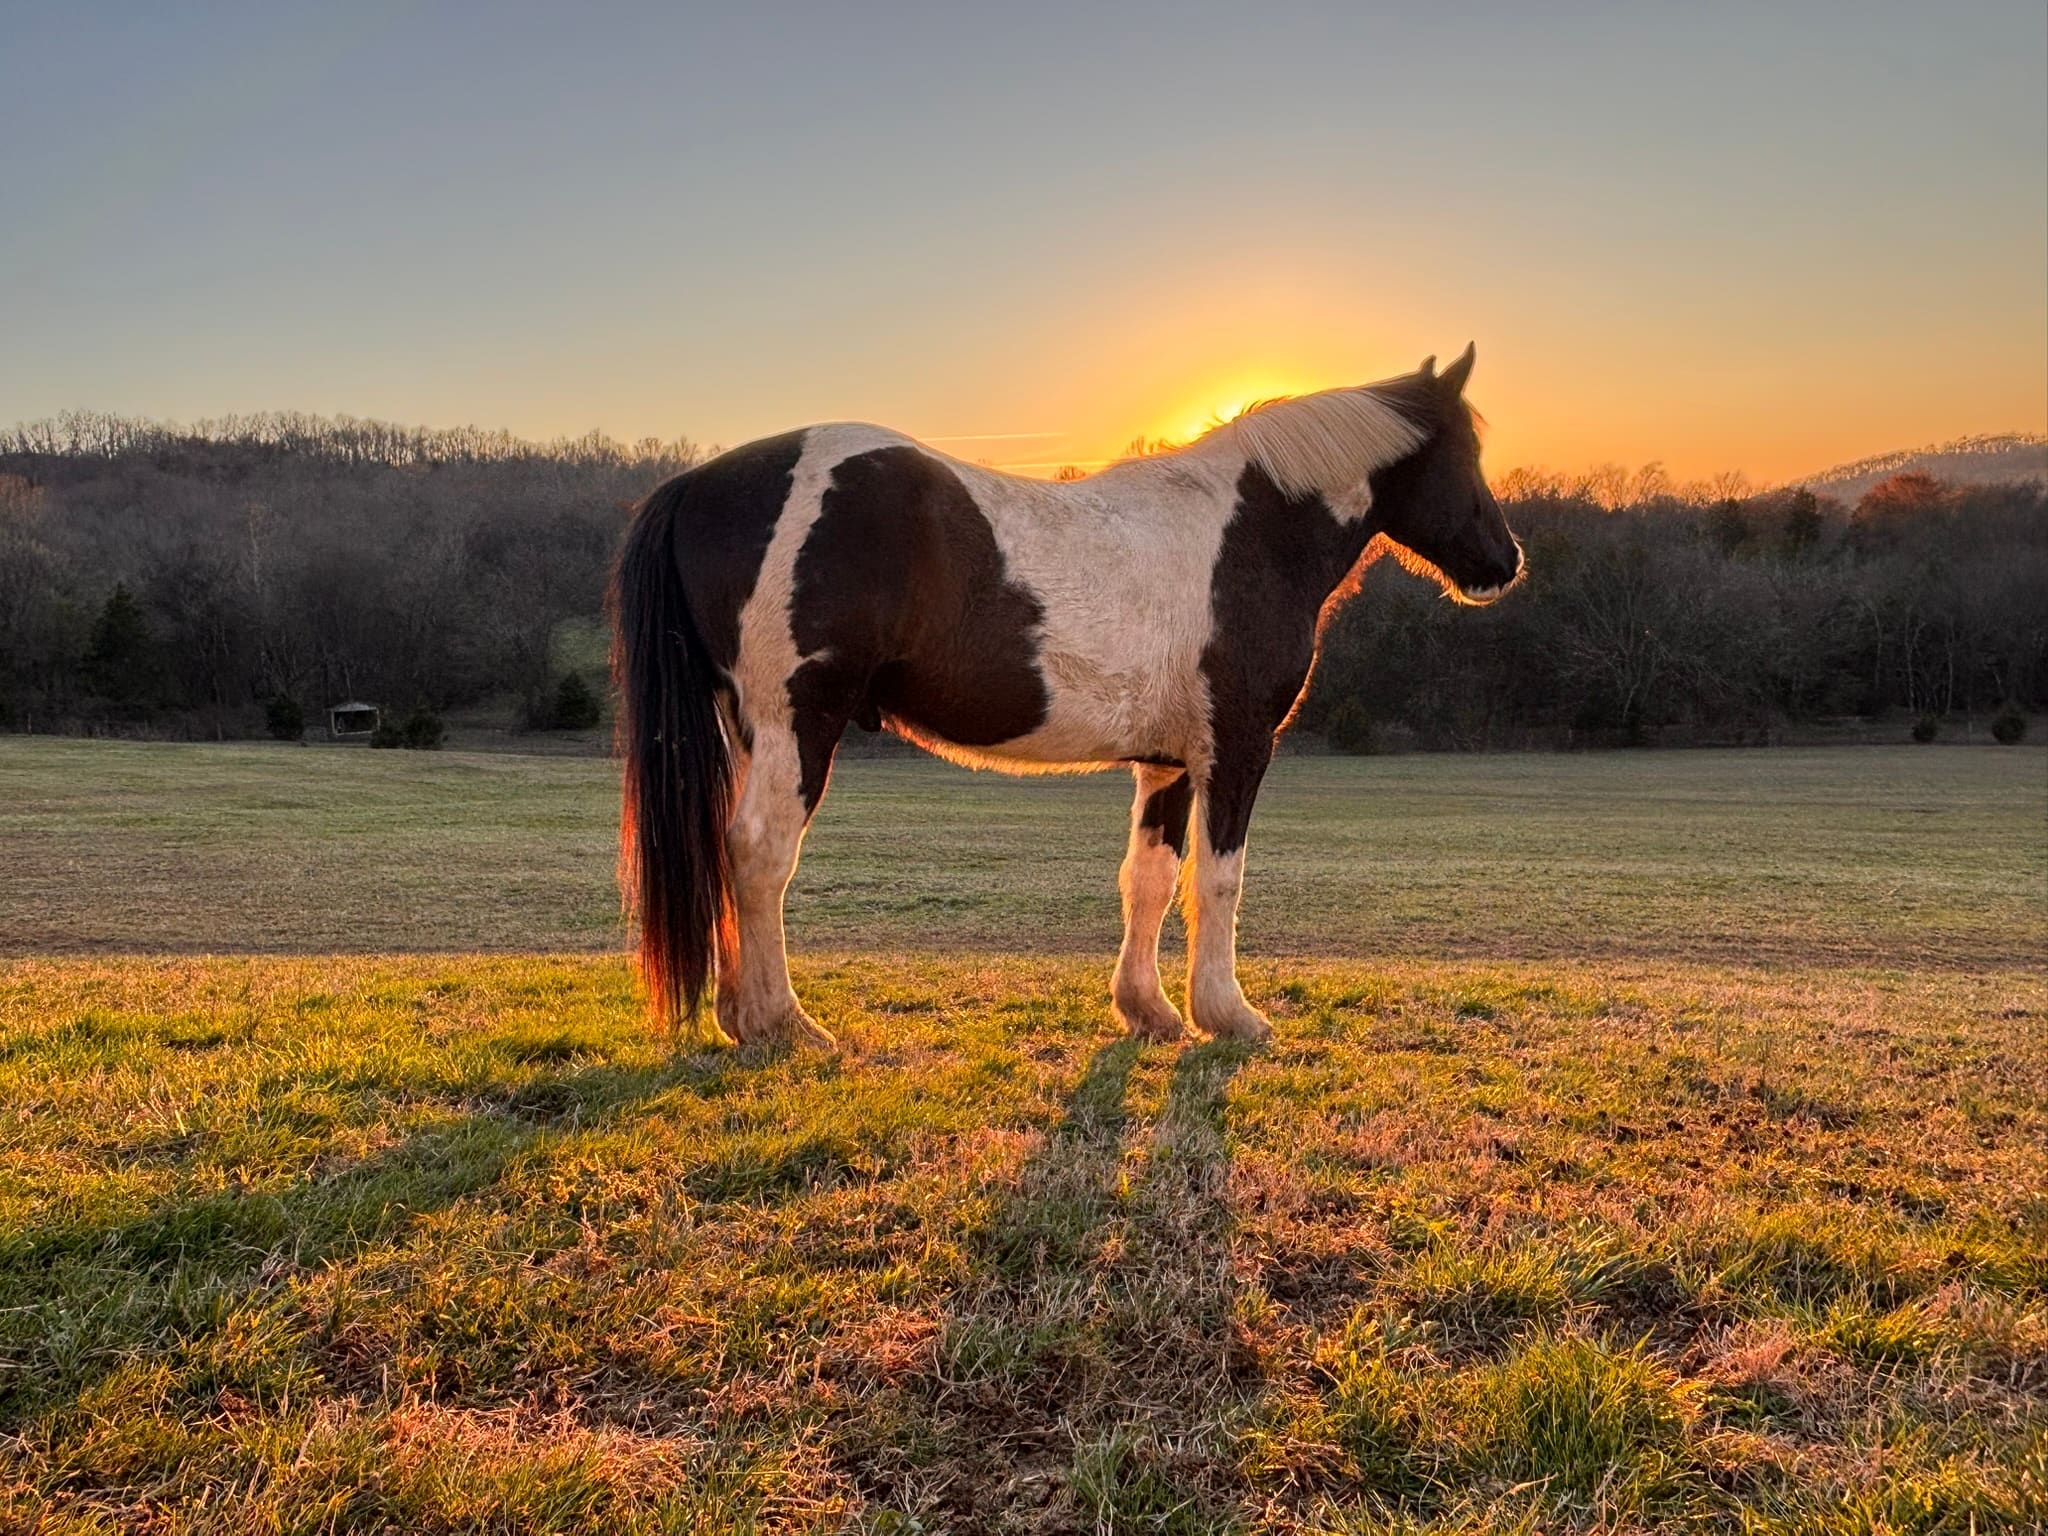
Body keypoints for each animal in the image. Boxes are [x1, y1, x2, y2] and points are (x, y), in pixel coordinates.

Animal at [610, 344, 1522, 1049]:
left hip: (752, 730)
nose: (1505, 562)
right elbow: (1219, 880)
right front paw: (1230, 1016)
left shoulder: (1168, 761)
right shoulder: (1236, 748)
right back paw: (784, 1023)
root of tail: (700, 482)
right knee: (761, 852)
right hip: (801, 722)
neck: (1250, 534)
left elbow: (1149, 878)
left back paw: (738, 1017)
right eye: (1466, 455)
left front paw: (1150, 1012)